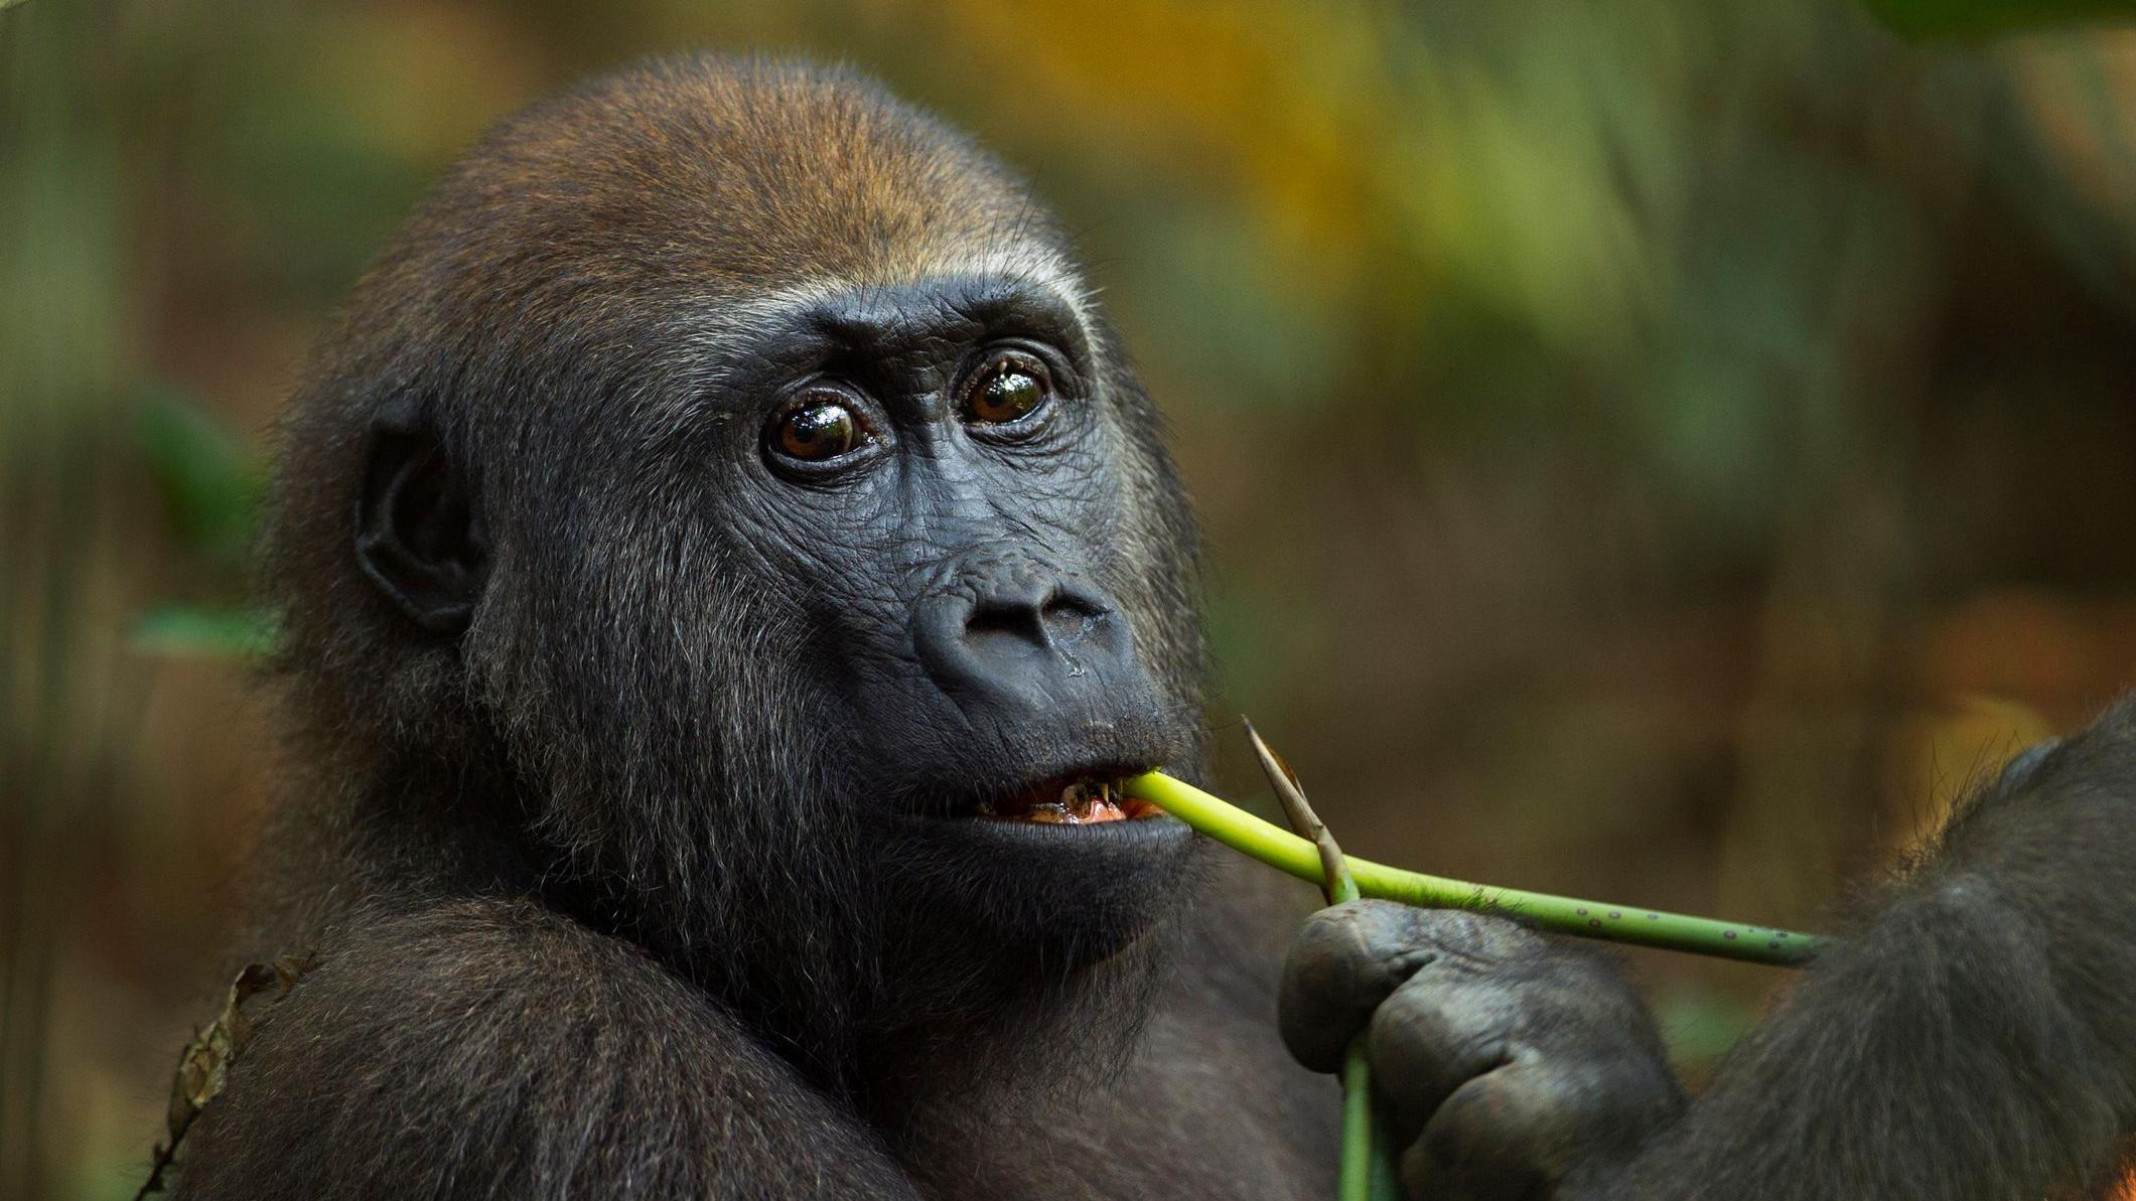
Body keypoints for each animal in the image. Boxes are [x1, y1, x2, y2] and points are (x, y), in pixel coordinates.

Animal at [166, 53, 2136, 1196]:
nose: (1036, 607)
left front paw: (1545, 1048)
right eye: (819, 435)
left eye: (1012, 394)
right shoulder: (488, 1043)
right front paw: (2037, 913)